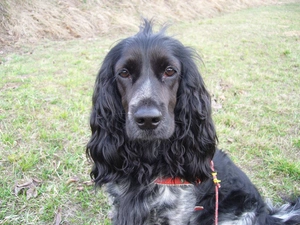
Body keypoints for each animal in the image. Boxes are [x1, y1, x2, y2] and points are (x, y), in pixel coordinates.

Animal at [86, 20, 300, 224]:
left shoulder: (176, 214)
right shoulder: (119, 207)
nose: (147, 119)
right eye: (124, 73)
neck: (148, 164)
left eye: (170, 71)